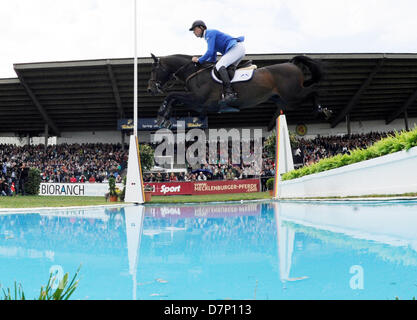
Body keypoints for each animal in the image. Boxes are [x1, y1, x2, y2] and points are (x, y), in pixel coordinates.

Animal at [146, 53, 328, 128]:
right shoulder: (197, 104)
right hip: (285, 101)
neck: (194, 72)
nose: (150, 89)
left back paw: (321, 110)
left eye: (154, 70)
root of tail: (292, 64)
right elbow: (173, 98)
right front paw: (165, 118)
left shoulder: (199, 100)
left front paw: (161, 115)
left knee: (314, 90)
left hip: (293, 95)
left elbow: (172, 95)